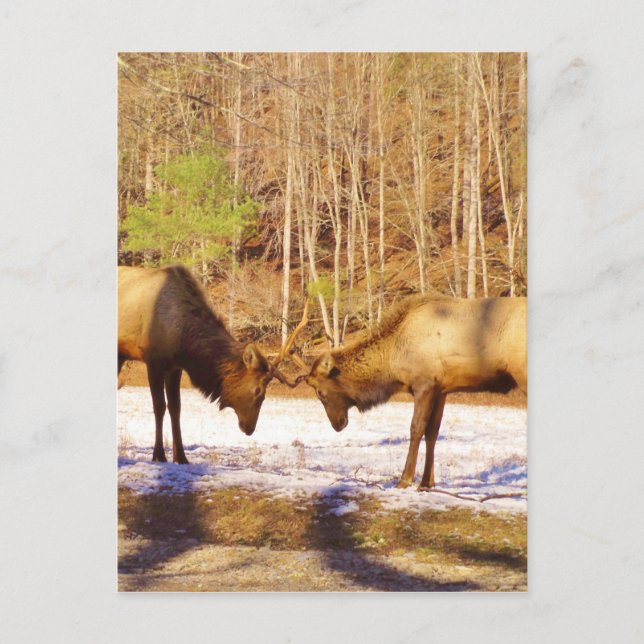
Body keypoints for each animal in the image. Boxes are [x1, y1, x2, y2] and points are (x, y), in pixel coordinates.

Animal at [118, 265, 306, 464]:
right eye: (258, 391)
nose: (250, 429)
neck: (183, 344)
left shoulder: (175, 367)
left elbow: (176, 407)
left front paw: (181, 457)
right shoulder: (153, 361)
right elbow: (159, 406)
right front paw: (159, 456)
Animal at [298, 295, 526, 490]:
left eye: (321, 392)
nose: (337, 424)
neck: (393, 360)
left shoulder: (424, 384)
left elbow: (416, 429)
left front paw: (405, 480)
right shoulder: (441, 389)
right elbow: (433, 432)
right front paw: (427, 482)